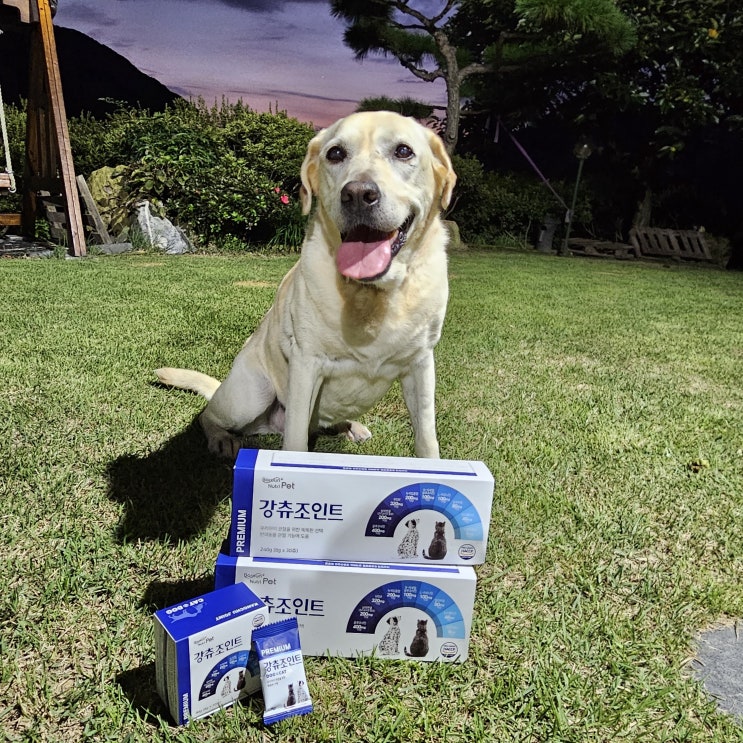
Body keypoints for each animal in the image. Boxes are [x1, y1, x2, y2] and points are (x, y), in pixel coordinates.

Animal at [155, 111, 456, 458]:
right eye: (335, 153)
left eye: (403, 151)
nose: (357, 194)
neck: (370, 296)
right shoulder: (306, 365)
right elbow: (296, 440)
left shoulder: (420, 365)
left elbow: (426, 437)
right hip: (251, 395)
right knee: (209, 416)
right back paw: (221, 438)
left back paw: (350, 426)